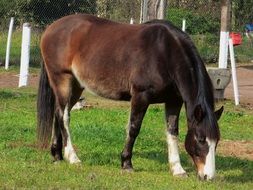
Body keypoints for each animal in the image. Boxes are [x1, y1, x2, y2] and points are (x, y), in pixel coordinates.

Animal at [36, 14, 222, 180]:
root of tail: (51, 28)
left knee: (58, 114)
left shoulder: (173, 100)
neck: (166, 52)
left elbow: (172, 132)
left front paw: (178, 169)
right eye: (201, 139)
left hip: (76, 86)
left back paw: (57, 155)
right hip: (62, 80)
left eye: (217, 141)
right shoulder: (140, 96)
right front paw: (126, 163)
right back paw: (72, 157)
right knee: (64, 116)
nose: (208, 177)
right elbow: (133, 128)